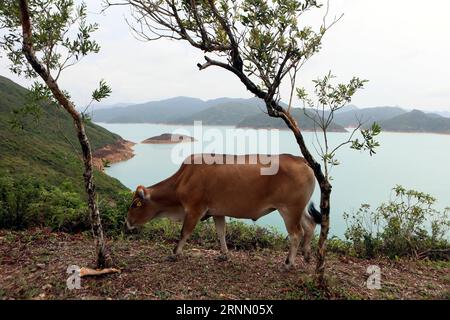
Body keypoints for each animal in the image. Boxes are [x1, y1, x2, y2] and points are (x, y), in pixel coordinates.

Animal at [125, 154, 322, 268]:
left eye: (135, 204)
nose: (126, 222)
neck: (183, 178)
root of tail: (300, 159)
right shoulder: (217, 211)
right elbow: (221, 232)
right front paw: (224, 254)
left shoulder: (194, 210)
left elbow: (184, 232)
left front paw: (175, 253)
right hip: (298, 209)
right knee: (310, 225)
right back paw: (307, 254)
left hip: (289, 209)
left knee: (296, 233)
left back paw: (289, 263)